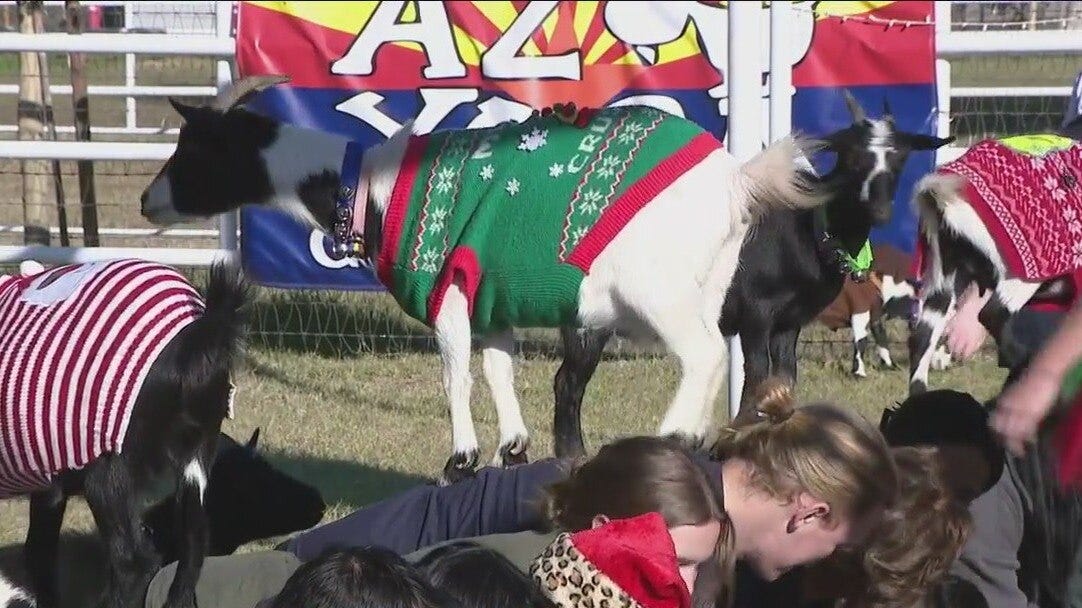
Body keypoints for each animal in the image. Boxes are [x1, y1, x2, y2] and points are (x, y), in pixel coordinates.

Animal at [1, 259, 251, 608]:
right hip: (197, 452)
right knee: (194, 543)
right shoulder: (47, 476)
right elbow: (39, 553)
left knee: (133, 561)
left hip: (109, 471)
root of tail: (202, 328)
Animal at [139, 75, 831, 485]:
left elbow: (454, 372)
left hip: (658, 290)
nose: (148, 201)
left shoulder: (445, 286)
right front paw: (514, 446)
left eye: (192, 150)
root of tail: (736, 182)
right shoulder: (492, 297)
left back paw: (672, 433)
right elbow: (499, 369)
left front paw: (464, 455)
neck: (366, 187)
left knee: (706, 353)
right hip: (711, 280)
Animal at [552, 93, 953, 455]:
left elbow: (785, 377)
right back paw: (572, 455)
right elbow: (757, 376)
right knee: (568, 383)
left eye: (900, 157)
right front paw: (731, 441)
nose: (880, 210)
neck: (806, 229)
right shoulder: (757, 313)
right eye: (852, 155)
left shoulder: (789, 323)